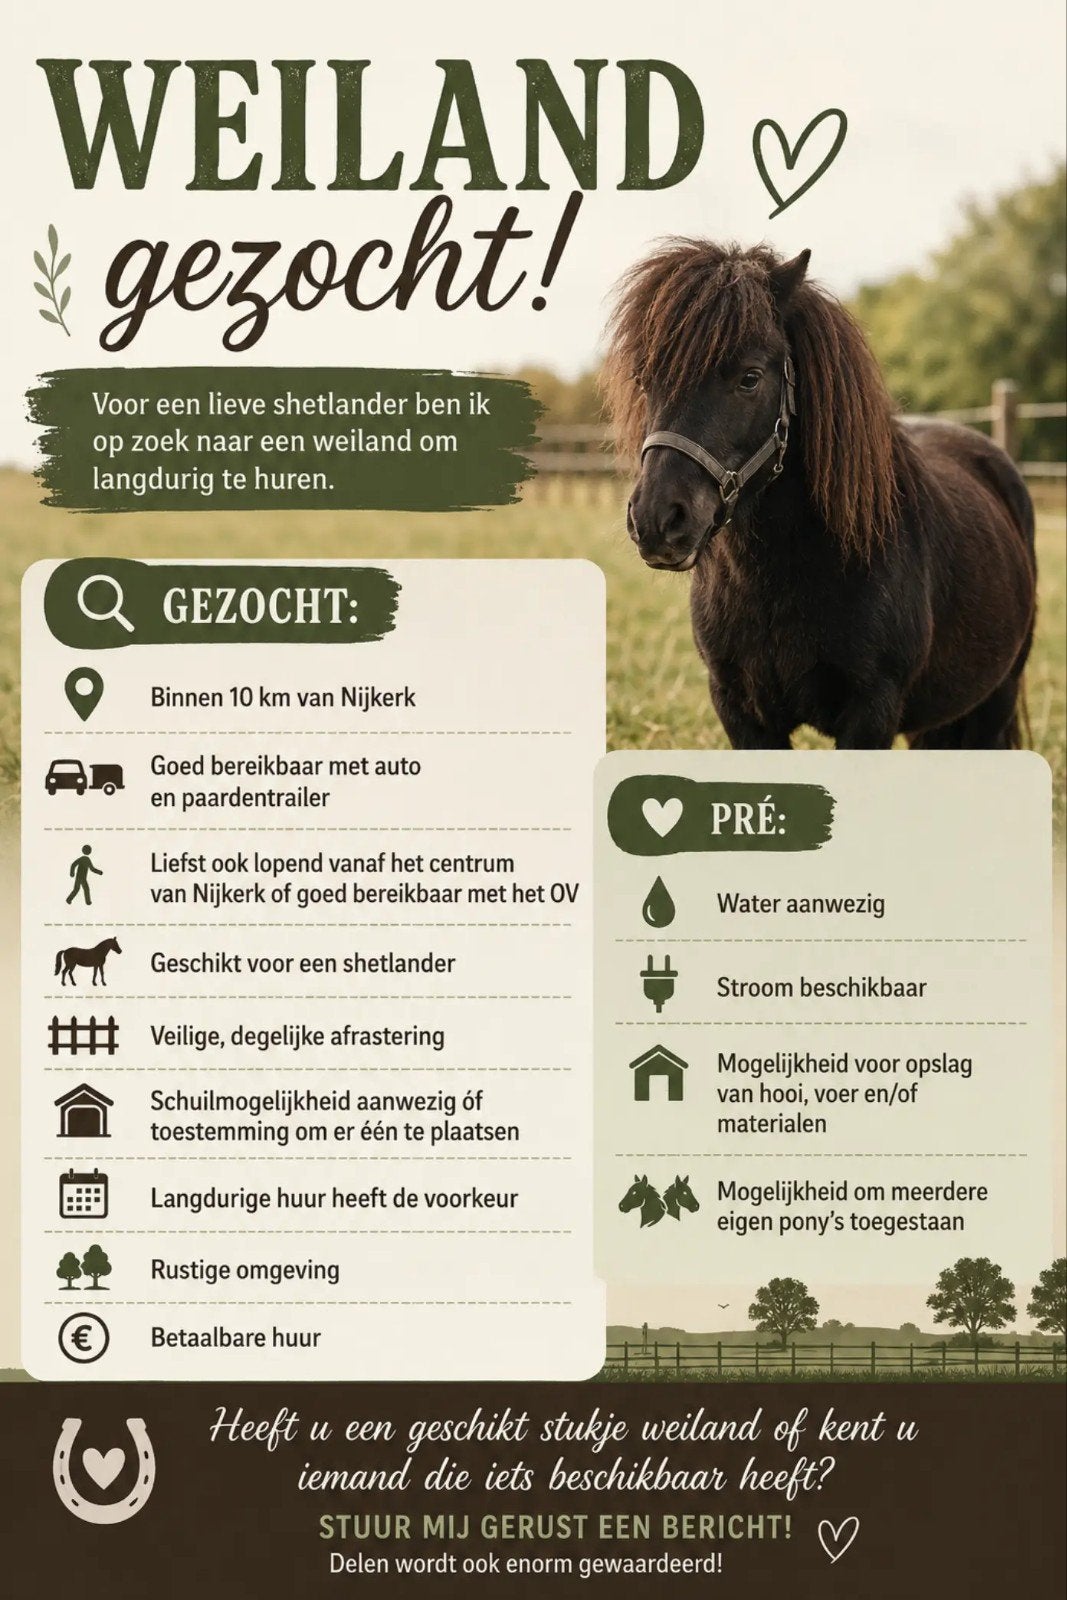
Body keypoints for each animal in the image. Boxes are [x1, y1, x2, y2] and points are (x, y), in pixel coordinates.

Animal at [604, 242, 1037, 749]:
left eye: (750, 377)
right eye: (643, 379)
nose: (657, 521)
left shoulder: (871, 713)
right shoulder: (741, 712)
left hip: (996, 700)